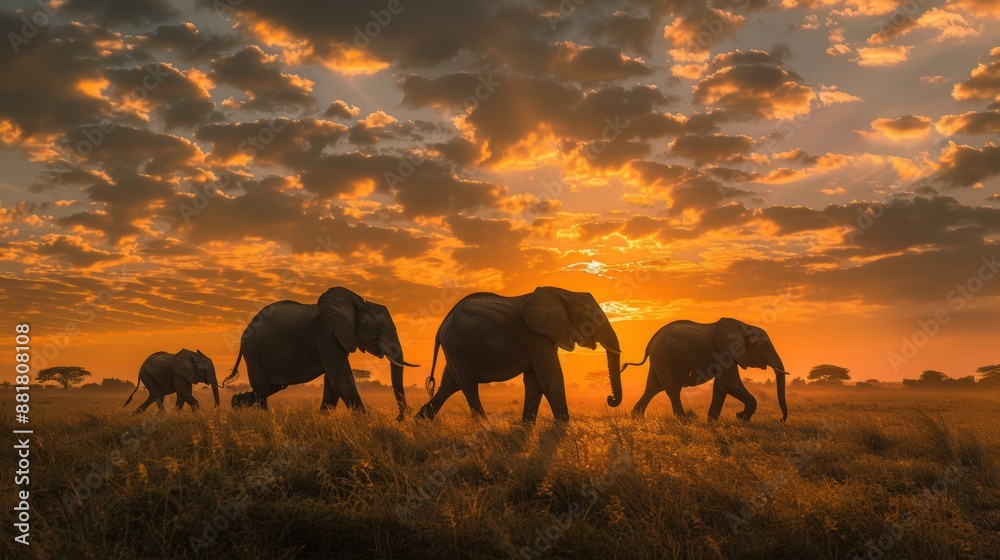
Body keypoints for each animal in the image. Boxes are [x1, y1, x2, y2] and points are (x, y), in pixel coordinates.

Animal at [222, 287, 418, 420]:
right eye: (376, 328)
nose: (399, 418)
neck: (358, 303)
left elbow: (332, 381)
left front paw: (320, 419)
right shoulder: (327, 334)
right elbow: (341, 379)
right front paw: (367, 423)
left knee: (271, 386)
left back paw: (236, 403)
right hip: (253, 350)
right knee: (263, 388)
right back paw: (264, 418)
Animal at [415, 287, 623, 423]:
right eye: (591, 317)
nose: (609, 399)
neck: (566, 293)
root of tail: (442, 325)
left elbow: (534, 382)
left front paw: (527, 427)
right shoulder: (536, 336)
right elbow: (550, 379)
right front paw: (563, 427)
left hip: (456, 347)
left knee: (450, 384)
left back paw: (421, 421)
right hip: (457, 344)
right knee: (468, 384)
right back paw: (485, 427)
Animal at [622, 318, 788, 422]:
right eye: (762, 345)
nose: (781, 419)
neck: (743, 326)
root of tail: (650, 343)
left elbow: (722, 386)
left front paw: (713, 421)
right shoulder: (724, 352)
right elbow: (730, 384)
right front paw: (741, 418)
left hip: (659, 358)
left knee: (654, 387)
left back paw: (637, 417)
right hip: (665, 357)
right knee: (672, 388)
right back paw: (686, 420)